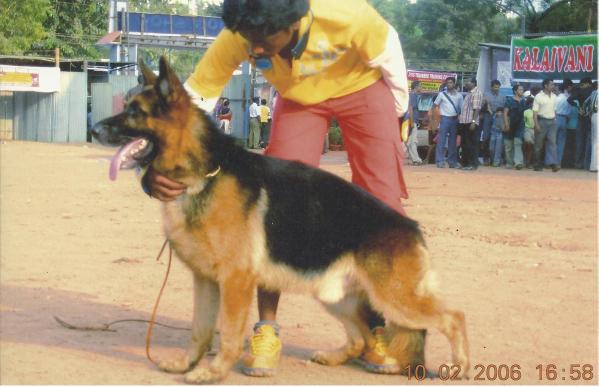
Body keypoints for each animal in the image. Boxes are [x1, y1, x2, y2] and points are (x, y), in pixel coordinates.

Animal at [91, 58, 472, 384]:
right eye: (126, 105)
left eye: (135, 112)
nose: (94, 129)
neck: (204, 174)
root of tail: (411, 227)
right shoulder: (206, 281)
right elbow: (199, 330)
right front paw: (188, 364)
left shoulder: (235, 282)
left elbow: (229, 334)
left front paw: (214, 372)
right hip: (336, 295)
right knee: (361, 337)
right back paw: (345, 357)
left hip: (394, 298)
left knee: (453, 318)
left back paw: (460, 366)